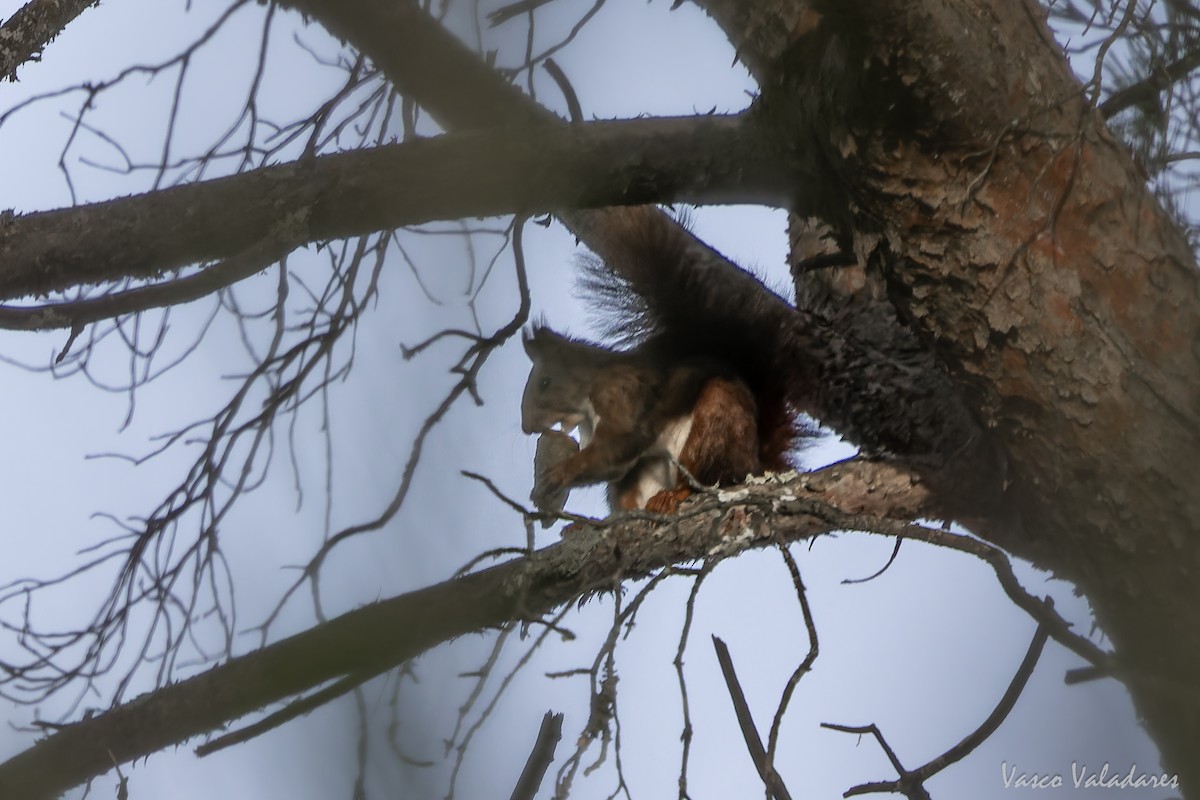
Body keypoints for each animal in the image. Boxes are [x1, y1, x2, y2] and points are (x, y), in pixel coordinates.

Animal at [521, 207, 810, 516]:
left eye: (545, 382)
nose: (527, 427)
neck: (589, 392)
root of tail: (755, 465)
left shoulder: (623, 396)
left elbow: (618, 448)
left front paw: (561, 472)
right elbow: (614, 468)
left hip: (715, 426)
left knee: (708, 474)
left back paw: (677, 494)